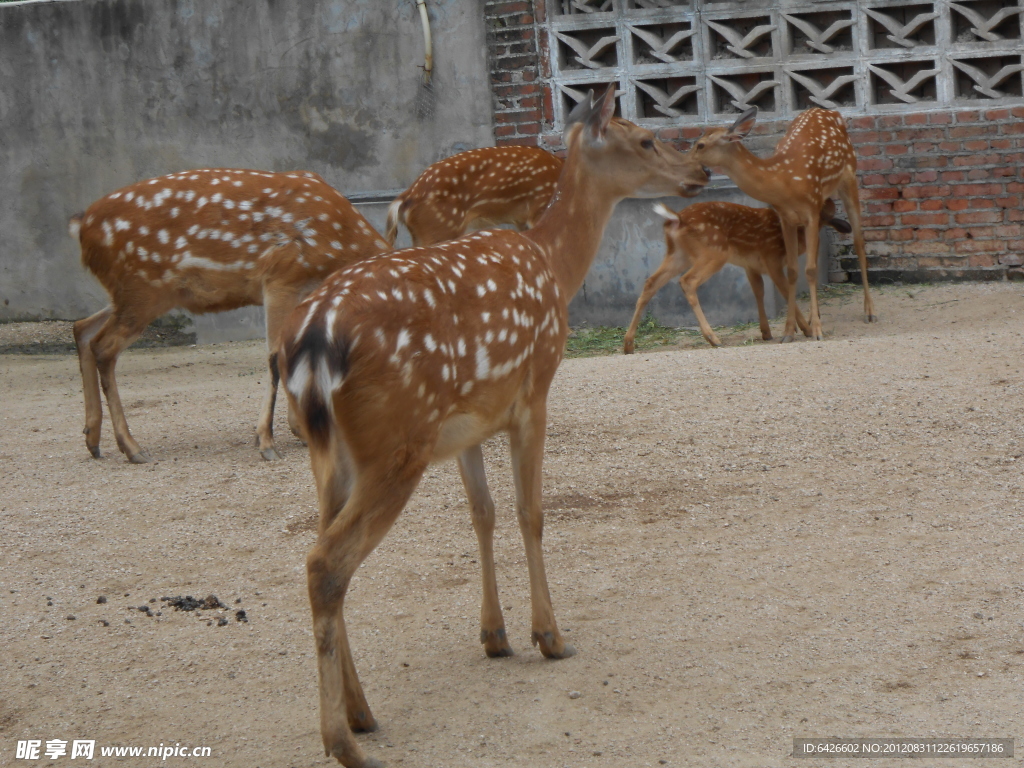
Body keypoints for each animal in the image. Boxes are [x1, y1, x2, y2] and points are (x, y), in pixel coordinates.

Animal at [71, 167, 391, 462]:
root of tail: (81, 228)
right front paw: (266, 442)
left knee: (83, 328)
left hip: (137, 295)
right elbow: (276, 357)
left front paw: (299, 430)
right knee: (104, 347)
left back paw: (93, 440)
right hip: (142, 290)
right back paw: (132, 448)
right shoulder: (282, 278)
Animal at [622, 199, 856, 354]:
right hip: (714, 252)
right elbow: (784, 289)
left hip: (678, 254)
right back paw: (713, 338)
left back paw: (628, 344)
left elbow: (759, 291)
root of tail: (676, 219)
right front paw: (805, 329)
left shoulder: (751, 265)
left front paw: (766, 332)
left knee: (650, 282)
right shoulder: (771, 258)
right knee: (687, 281)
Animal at [684, 107, 876, 342]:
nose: (685, 163)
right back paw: (814, 315)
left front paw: (817, 331)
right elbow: (793, 270)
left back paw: (869, 311)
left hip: (849, 177)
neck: (783, 181)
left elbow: (810, 270)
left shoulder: (811, 209)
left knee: (859, 242)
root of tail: (828, 111)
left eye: (700, 145)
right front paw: (789, 331)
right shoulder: (787, 218)